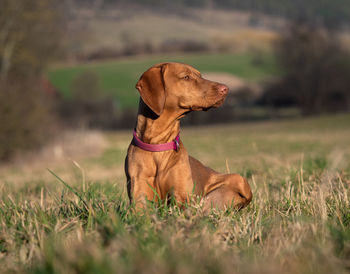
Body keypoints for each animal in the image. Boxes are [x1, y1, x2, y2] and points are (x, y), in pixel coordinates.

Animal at [125, 63, 252, 211]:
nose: (225, 89)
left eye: (200, 75)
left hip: (239, 179)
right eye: (186, 77)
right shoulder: (139, 198)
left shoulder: (181, 198)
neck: (158, 145)